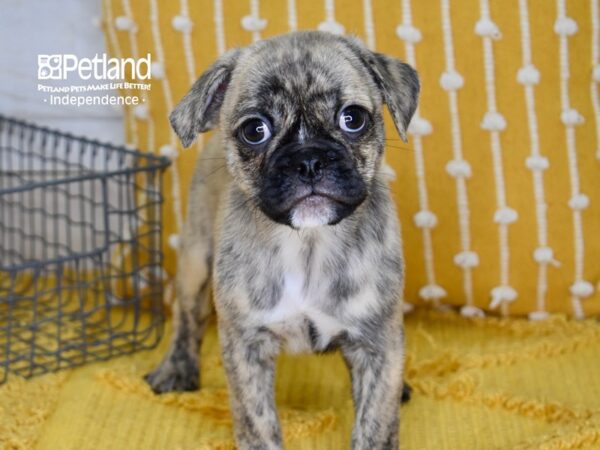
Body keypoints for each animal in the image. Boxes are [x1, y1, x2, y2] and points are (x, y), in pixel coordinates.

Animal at [145, 29, 418, 448]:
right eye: (254, 130)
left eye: (353, 119)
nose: (308, 160)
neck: (308, 244)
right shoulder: (246, 349)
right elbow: (258, 425)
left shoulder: (376, 343)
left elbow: (375, 424)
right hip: (195, 260)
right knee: (187, 316)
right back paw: (176, 368)